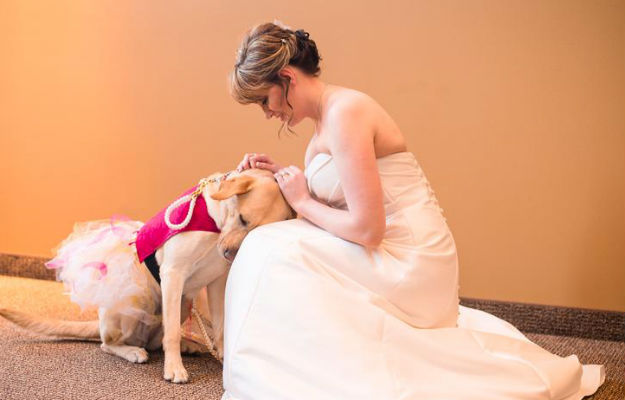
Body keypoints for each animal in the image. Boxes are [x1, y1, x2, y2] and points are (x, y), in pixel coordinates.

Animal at [0, 167, 294, 382]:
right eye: (243, 219)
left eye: (254, 231)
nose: (229, 254)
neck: (215, 223)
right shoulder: (173, 273)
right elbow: (171, 333)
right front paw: (174, 369)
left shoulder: (216, 283)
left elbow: (220, 328)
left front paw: (222, 358)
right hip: (137, 302)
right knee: (110, 344)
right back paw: (133, 351)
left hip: (184, 303)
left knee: (158, 338)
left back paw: (190, 345)